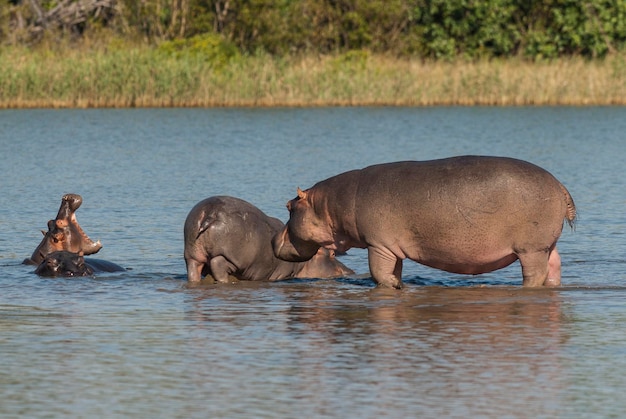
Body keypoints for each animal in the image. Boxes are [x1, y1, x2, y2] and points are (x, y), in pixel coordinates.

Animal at [183, 196, 354, 282]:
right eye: (332, 254)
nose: (350, 271)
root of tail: (210, 213)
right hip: (232, 258)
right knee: (218, 264)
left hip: (192, 254)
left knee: (194, 269)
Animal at [270, 156, 572, 290]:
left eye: (289, 207)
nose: (273, 239)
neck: (330, 205)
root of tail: (560, 185)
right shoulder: (393, 248)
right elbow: (393, 270)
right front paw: (399, 282)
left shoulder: (378, 244)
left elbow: (378, 273)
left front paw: (394, 286)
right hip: (548, 246)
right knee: (554, 268)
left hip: (530, 249)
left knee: (534, 274)